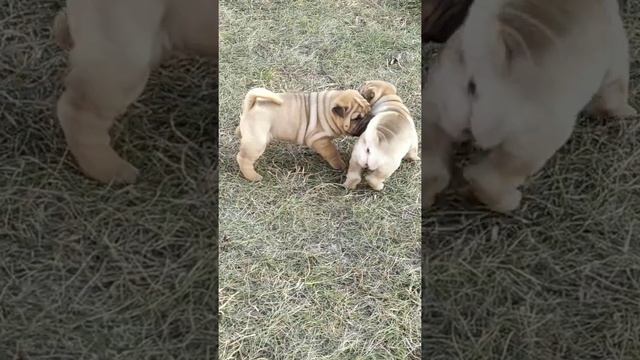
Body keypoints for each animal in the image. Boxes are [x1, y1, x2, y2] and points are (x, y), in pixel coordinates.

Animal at [422, 0, 636, 212]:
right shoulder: (616, 56)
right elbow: (614, 94)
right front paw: (625, 112)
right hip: (528, 146)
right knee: (488, 180)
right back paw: (507, 201)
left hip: (435, 115)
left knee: (434, 169)